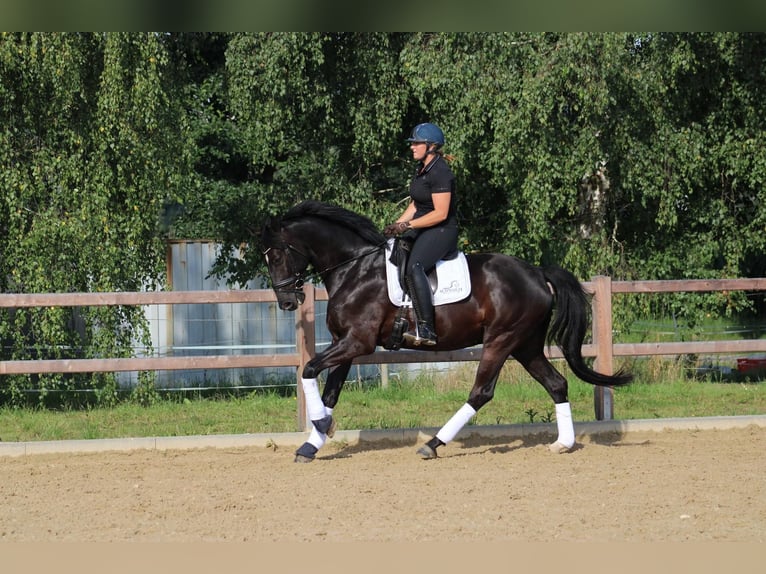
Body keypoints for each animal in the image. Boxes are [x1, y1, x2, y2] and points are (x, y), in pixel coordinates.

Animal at [260, 202, 632, 464]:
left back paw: (433, 444)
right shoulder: (345, 343)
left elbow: (309, 370)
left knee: (481, 391)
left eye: (276, 255)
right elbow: (331, 393)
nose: (287, 302)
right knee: (556, 384)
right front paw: (313, 442)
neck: (355, 268)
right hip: (525, 345)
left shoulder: (357, 342)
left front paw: (322, 428)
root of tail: (537, 273)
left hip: (501, 339)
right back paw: (562, 443)